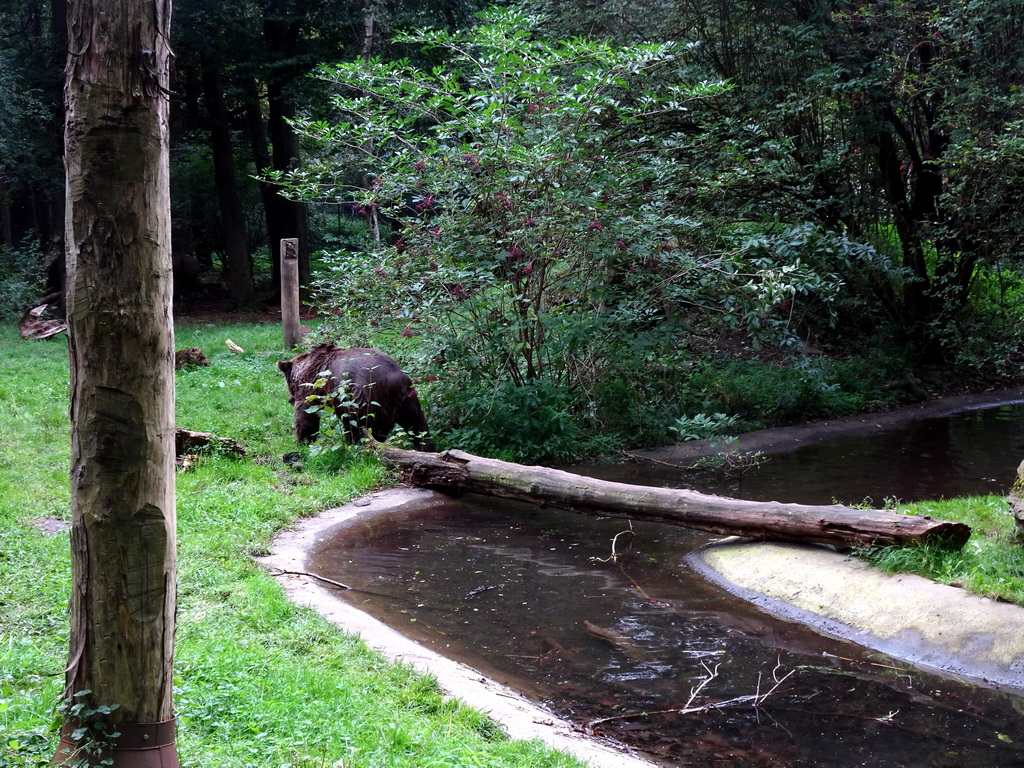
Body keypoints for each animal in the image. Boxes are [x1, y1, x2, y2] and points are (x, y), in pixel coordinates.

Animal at [276, 342, 432, 450]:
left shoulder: (312, 389)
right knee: (417, 425)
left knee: (362, 425)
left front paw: (302, 442)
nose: (290, 399)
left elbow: (306, 416)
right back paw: (425, 447)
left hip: (364, 396)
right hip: (409, 400)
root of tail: (399, 379)